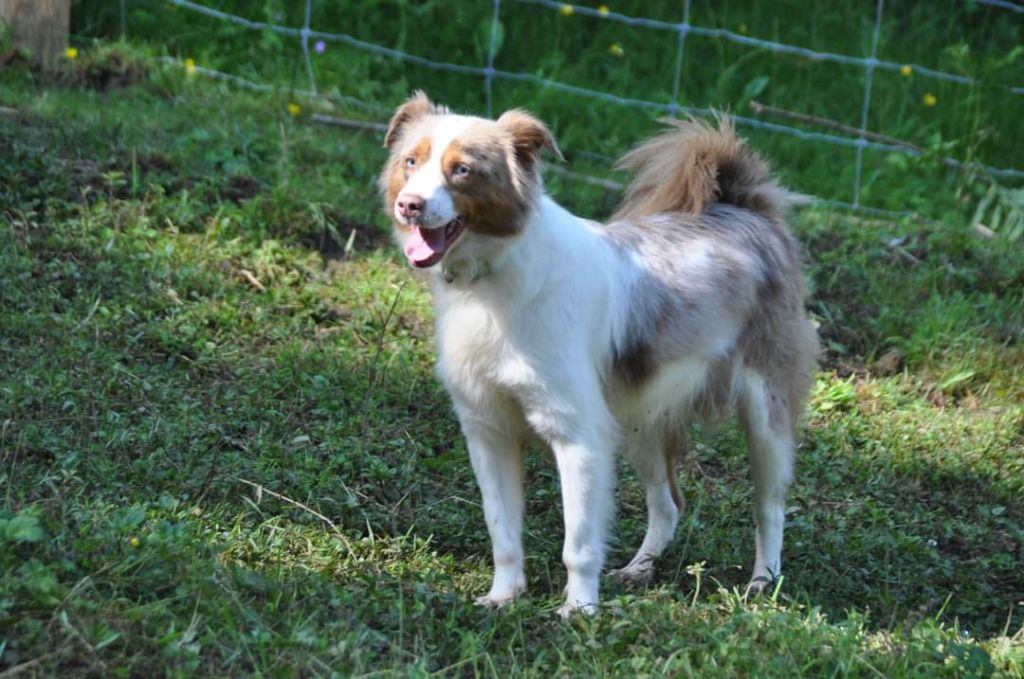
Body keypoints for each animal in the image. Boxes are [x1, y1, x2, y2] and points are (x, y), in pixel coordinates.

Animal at [376, 93, 815, 618]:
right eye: (410, 161)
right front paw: (504, 596)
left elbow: (579, 543)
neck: (493, 279)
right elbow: (502, 529)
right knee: (668, 503)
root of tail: (744, 209)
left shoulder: (578, 435)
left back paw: (762, 582)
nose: (409, 205)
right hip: (642, 417)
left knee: (770, 506)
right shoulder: (489, 431)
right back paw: (639, 569)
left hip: (765, 411)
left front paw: (579, 611)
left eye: (462, 170)